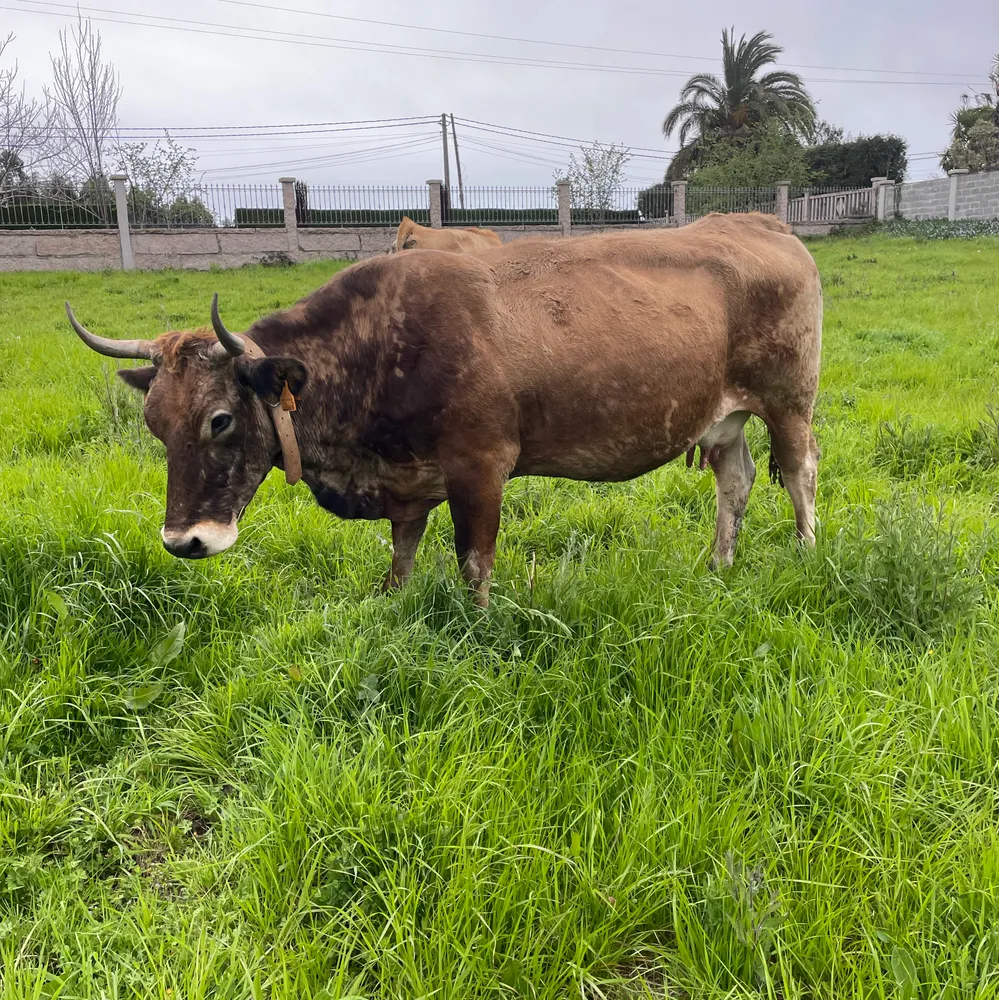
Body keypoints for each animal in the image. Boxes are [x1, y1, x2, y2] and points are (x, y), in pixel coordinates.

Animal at [65, 212, 822, 607]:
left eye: (220, 420)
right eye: (154, 425)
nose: (183, 541)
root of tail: (760, 221)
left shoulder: (480, 468)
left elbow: (473, 563)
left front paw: (480, 623)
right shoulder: (407, 481)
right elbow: (400, 560)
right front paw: (394, 605)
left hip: (790, 401)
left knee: (798, 474)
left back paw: (808, 554)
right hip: (723, 416)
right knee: (735, 481)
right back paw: (719, 566)